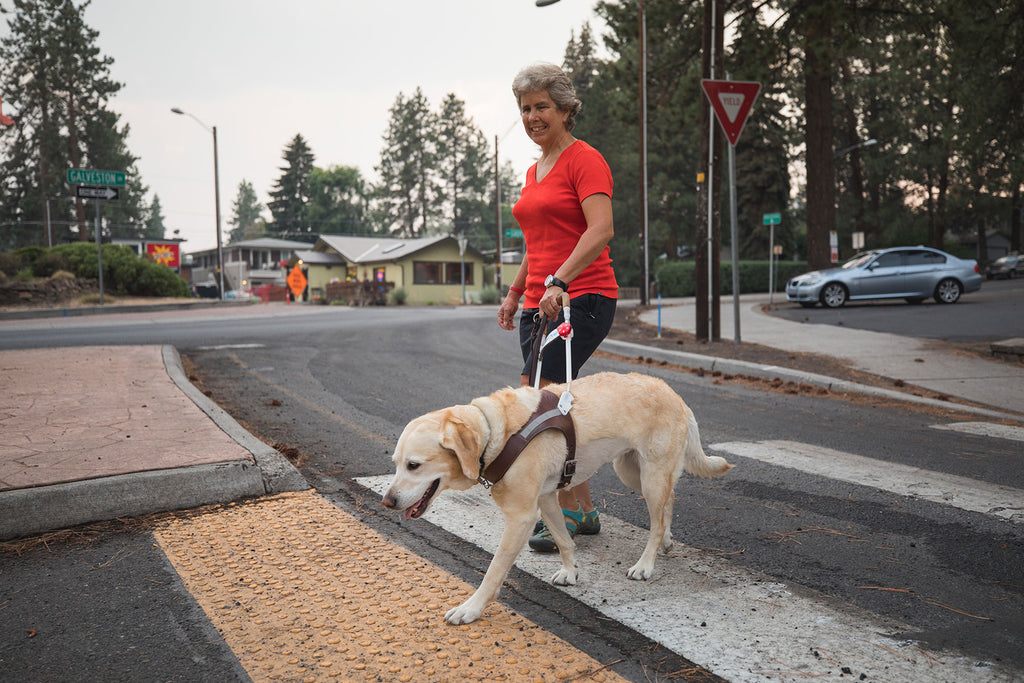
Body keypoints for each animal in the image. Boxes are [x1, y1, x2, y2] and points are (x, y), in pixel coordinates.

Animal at [382, 374, 729, 626]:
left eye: (414, 465)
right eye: (395, 463)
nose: (388, 501)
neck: (497, 433)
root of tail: (676, 396)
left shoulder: (521, 517)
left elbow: (494, 571)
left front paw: (472, 608)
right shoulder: (547, 498)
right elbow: (563, 540)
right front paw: (571, 571)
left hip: (651, 475)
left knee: (656, 522)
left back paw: (646, 564)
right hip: (633, 472)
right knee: (669, 502)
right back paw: (667, 541)